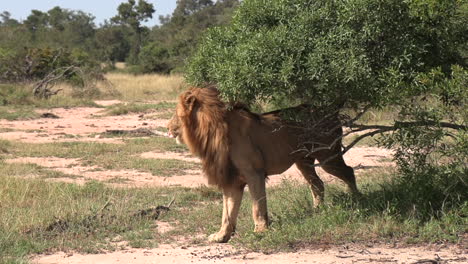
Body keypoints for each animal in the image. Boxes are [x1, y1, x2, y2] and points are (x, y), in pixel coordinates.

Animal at [168, 86, 358, 243]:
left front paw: (260, 231)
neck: (210, 131)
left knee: (348, 172)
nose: (167, 127)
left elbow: (257, 205)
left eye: (176, 114)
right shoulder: (231, 179)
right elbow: (227, 211)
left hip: (328, 156)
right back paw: (317, 210)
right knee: (318, 183)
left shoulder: (254, 173)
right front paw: (222, 235)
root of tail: (331, 109)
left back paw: (356, 201)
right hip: (304, 161)